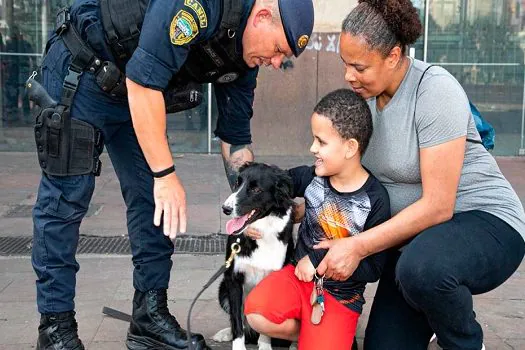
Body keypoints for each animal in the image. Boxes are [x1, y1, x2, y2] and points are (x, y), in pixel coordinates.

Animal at [213, 163, 294, 350]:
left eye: (256, 189)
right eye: (237, 183)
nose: (225, 209)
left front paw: (264, 345)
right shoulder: (233, 278)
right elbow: (236, 319)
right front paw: (238, 346)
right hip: (223, 288)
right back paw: (226, 333)